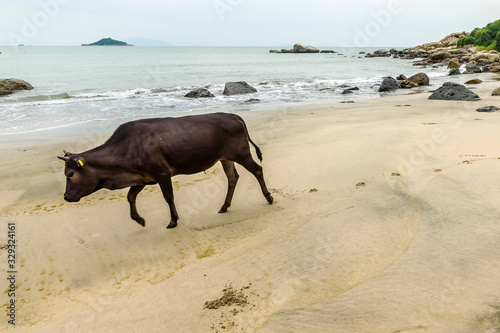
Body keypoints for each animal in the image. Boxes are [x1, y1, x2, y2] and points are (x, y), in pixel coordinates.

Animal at [58, 113, 274, 227]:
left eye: (70, 174)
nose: (66, 197)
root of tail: (233, 115)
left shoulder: (162, 174)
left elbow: (168, 197)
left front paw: (173, 220)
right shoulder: (143, 177)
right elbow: (130, 196)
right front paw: (139, 219)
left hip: (241, 154)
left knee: (257, 170)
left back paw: (268, 197)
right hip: (226, 158)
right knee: (232, 177)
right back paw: (224, 206)